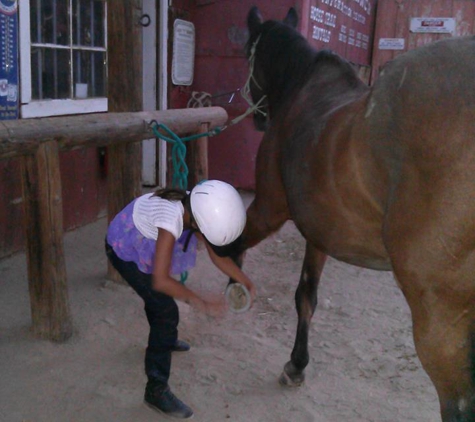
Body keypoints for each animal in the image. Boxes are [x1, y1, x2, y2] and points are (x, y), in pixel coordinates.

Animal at [236, 6, 475, 422]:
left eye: (249, 53)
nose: (259, 117)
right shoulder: (320, 231)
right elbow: (306, 296)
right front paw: (297, 364)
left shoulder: (268, 209)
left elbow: (231, 244)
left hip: (441, 319)